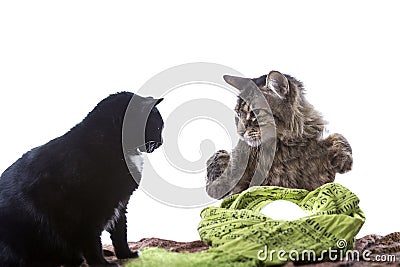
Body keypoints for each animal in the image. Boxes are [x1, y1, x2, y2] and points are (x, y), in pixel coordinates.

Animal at [0, 91, 164, 266]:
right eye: (158, 126)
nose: (162, 142)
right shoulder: (87, 211)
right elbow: (92, 241)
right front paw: (102, 264)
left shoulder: (120, 204)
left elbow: (120, 233)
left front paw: (127, 255)